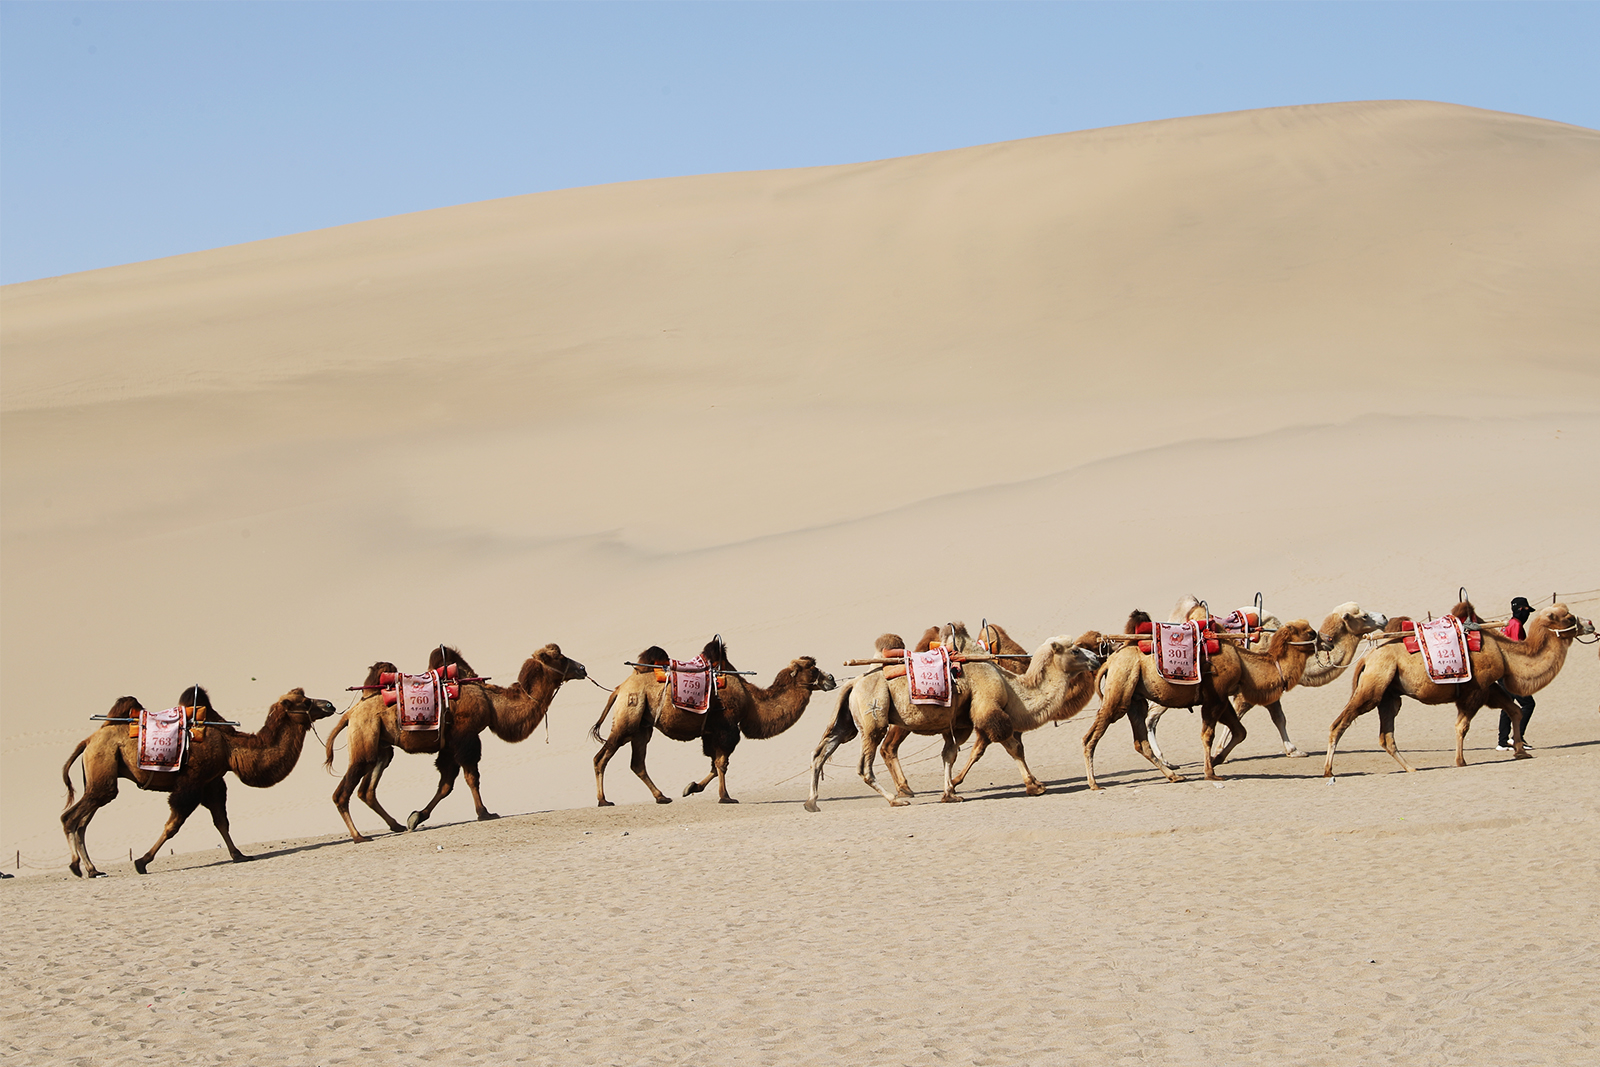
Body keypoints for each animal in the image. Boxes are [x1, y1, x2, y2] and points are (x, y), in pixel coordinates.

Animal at [60, 687, 336, 883]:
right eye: (305, 702)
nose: (329, 704)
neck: (230, 748)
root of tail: (87, 741)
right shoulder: (191, 783)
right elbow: (173, 825)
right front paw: (142, 862)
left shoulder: (212, 782)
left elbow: (222, 821)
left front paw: (239, 855)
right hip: (103, 770)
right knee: (70, 817)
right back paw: (75, 867)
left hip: (99, 777)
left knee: (82, 822)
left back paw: (92, 870)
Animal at [324, 643, 588, 844]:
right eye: (560, 657)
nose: (582, 668)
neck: (491, 703)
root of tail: (350, 713)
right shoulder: (466, 736)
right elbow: (471, 777)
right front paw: (485, 813)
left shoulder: (449, 745)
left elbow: (446, 785)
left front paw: (416, 817)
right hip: (365, 739)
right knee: (341, 793)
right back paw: (358, 836)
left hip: (381, 748)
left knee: (366, 790)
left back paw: (395, 825)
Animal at [592, 639, 838, 806]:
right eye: (813, 669)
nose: (832, 679)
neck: (751, 701)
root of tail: (620, 688)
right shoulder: (727, 728)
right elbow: (722, 763)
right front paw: (726, 797)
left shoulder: (710, 733)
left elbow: (713, 764)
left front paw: (691, 787)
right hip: (629, 716)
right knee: (601, 757)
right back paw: (604, 800)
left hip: (642, 725)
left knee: (637, 763)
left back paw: (661, 797)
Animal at [1081, 614, 1331, 790]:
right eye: (1310, 631)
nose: (1328, 640)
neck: (1244, 664)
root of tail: (1110, 661)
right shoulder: (1214, 698)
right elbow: (1207, 735)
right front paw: (1211, 772)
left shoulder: (1222, 698)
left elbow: (1240, 732)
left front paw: (1217, 759)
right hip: (1121, 687)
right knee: (1091, 736)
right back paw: (1094, 783)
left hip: (1135, 699)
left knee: (1140, 741)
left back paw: (1174, 776)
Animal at [1318, 601, 1593, 777]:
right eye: (1569, 618)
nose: (1590, 623)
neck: (1505, 653)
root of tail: (1366, 658)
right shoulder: (1476, 690)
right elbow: (1462, 726)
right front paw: (1461, 761)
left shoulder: (1489, 688)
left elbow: (1514, 711)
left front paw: (1520, 751)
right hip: (1374, 685)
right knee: (1339, 723)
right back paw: (1328, 770)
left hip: (1389, 694)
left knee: (1386, 735)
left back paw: (1410, 768)